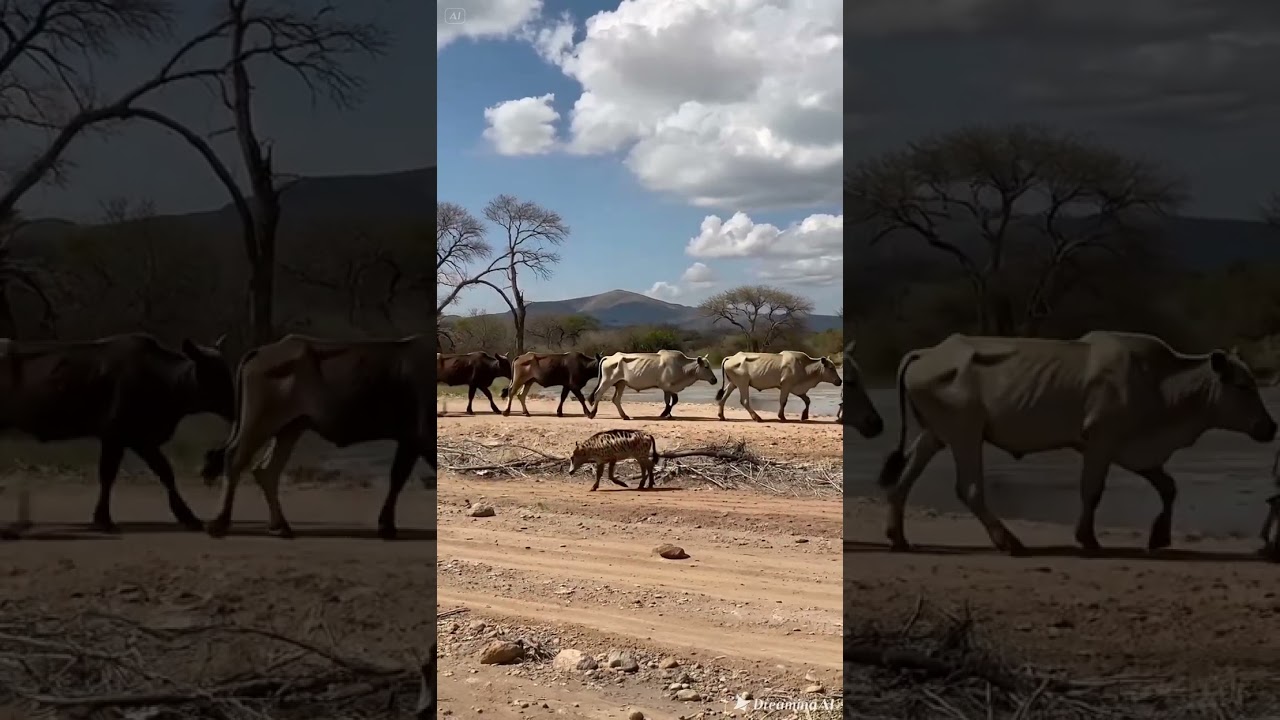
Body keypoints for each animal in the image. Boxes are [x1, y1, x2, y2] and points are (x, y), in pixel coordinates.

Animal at [0, 333, 234, 533]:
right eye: (214, 374)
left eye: (226, 371)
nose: (235, 404)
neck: (162, 379)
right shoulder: (118, 436)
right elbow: (112, 475)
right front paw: (104, 519)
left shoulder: (138, 439)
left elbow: (162, 471)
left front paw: (187, 516)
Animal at [200, 334, 432, 540]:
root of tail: (262, 351)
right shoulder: (420, 439)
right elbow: (400, 477)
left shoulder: (409, 441)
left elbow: (397, 478)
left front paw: (386, 525)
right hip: (260, 423)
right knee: (235, 458)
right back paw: (220, 522)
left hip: (290, 427)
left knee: (267, 470)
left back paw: (280, 525)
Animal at [588, 350, 718, 420]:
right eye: (706, 367)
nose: (714, 380)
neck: (682, 367)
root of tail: (610, 357)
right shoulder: (667, 387)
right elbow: (671, 401)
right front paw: (665, 413)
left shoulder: (669, 389)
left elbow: (671, 401)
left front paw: (668, 414)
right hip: (607, 381)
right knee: (598, 394)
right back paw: (592, 413)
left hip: (621, 384)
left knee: (616, 399)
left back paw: (624, 416)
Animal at [877, 331, 1277, 556]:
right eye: (1244, 385)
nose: (1270, 427)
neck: (1161, 383)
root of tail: (927, 352)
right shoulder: (1102, 442)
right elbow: (1092, 491)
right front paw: (1088, 538)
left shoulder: (1135, 452)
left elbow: (1169, 487)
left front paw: (1160, 536)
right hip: (965, 433)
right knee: (970, 488)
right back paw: (1009, 542)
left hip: (935, 435)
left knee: (904, 480)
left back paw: (898, 537)